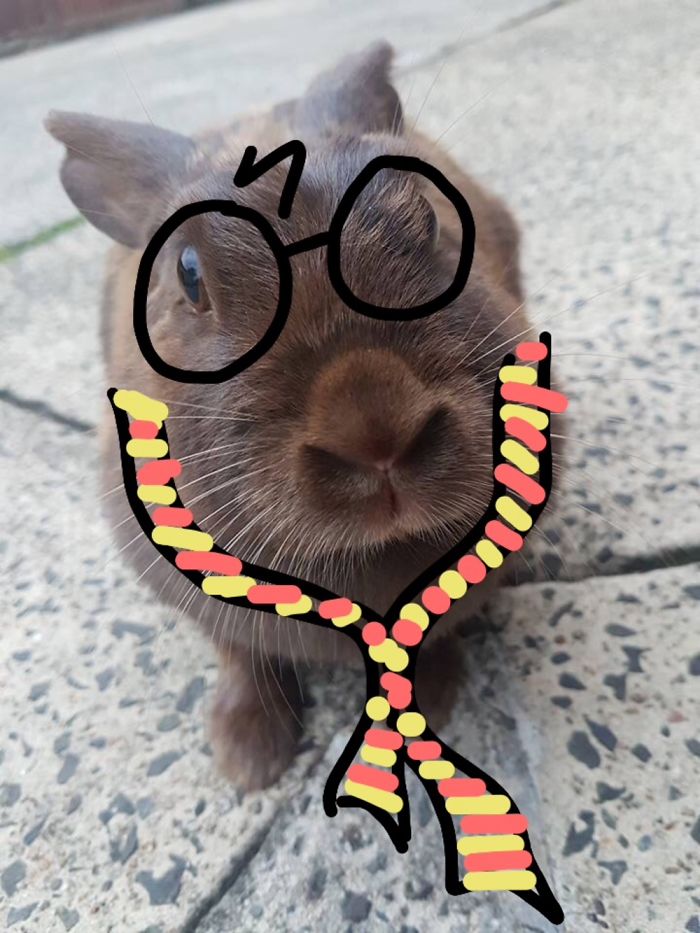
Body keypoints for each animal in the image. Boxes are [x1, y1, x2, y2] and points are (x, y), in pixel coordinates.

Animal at [46, 41, 532, 791]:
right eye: (188, 274)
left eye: (428, 220)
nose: (376, 426)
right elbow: (241, 658)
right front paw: (248, 758)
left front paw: (438, 699)